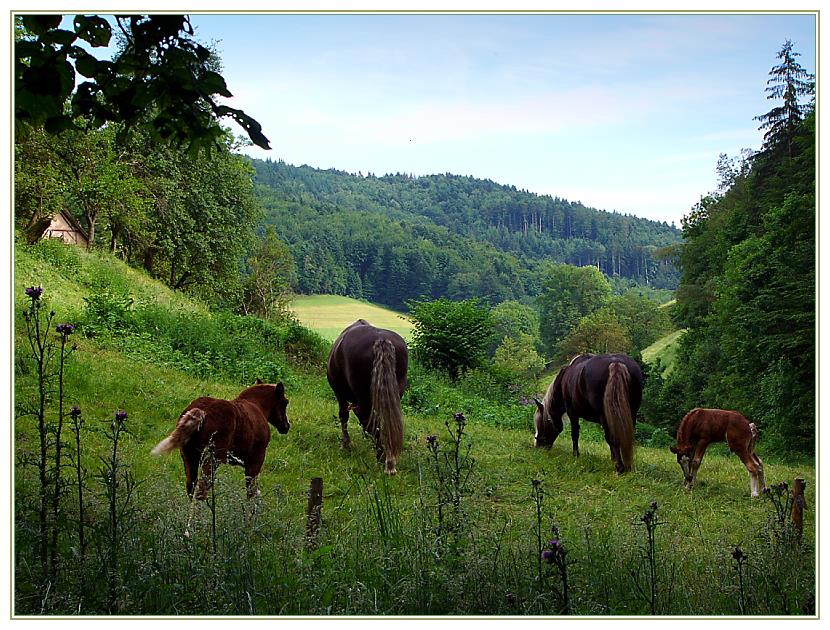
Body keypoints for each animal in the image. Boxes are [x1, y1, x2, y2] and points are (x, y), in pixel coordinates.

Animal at [151, 382, 290, 502]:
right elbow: (251, 492)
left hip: (189, 454)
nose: (287, 426)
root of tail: (201, 412)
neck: (258, 407)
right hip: (213, 457)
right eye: (285, 402)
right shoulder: (256, 460)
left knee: (191, 486)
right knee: (201, 489)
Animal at [330, 320, 412, 474]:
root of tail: (381, 340)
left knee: (370, 422)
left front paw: (346, 444)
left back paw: (382, 458)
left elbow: (344, 416)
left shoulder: (340, 394)